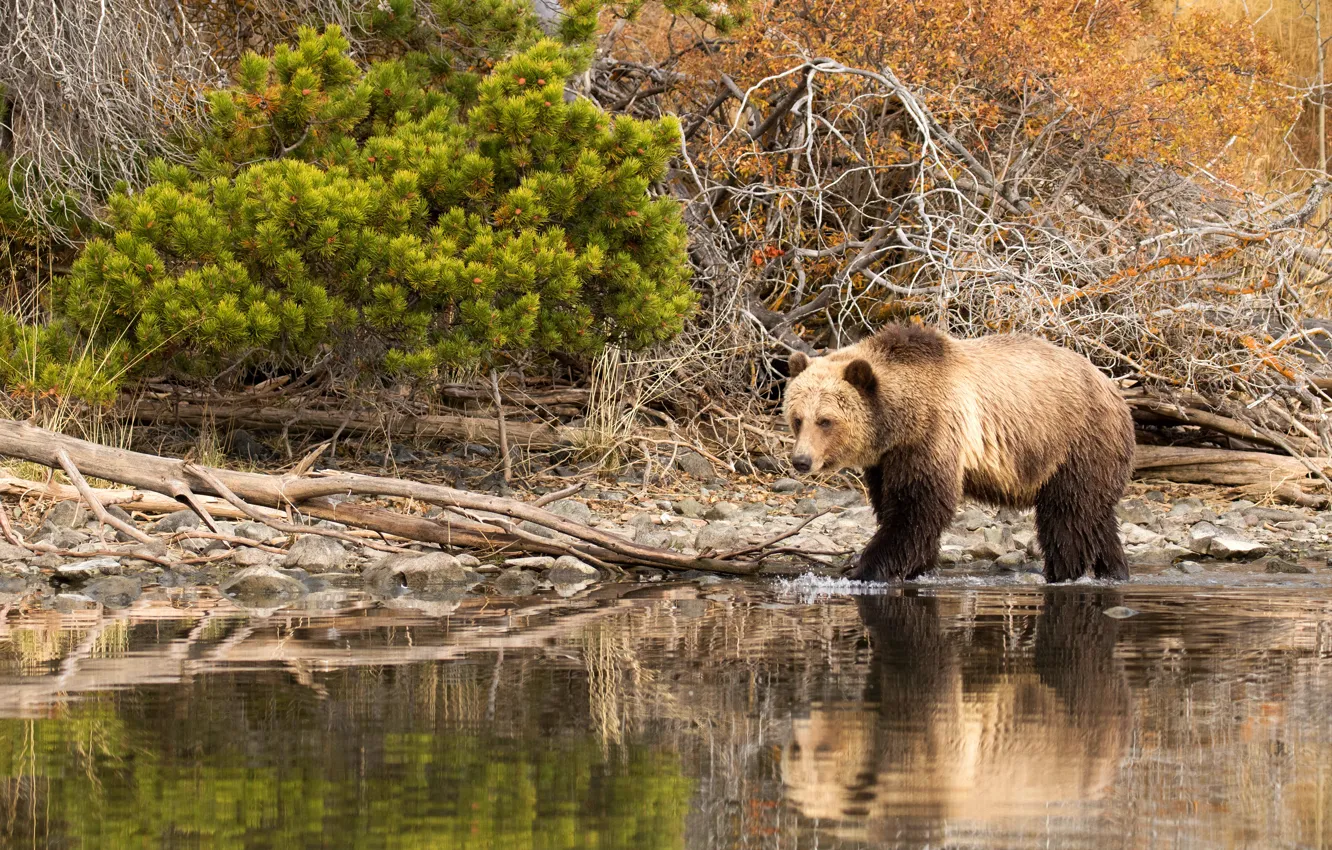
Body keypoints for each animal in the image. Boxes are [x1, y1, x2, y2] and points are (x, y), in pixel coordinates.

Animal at [782, 323, 1134, 583]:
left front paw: (866, 569)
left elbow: (917, 508)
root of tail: (1113, 387)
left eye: (825, 420)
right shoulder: (887, 459)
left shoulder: (933, 433)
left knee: (1068, 515)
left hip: (1075, 442)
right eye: (798, 418)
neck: (899, 420)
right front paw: (915, 566)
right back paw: (1114, 570)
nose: (801, 461)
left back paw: (1064, 572)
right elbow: (892, 504)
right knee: (1096, 516)